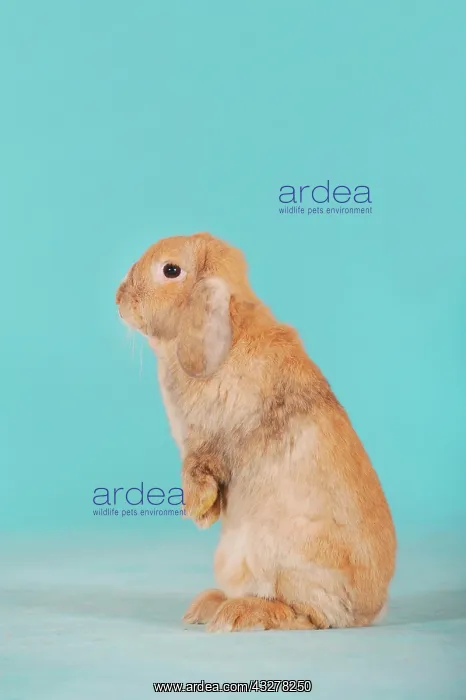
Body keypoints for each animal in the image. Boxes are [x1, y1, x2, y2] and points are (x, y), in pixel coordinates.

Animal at [115, 232, 396, 632]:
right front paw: (205, 514)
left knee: (312, 616)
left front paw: (195, 509)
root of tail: (370, 610)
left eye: (171, 270)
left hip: (275, 557)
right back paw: (208, 604)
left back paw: (240, 613)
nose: (120, 298)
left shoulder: (205, 446)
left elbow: (199, 470)